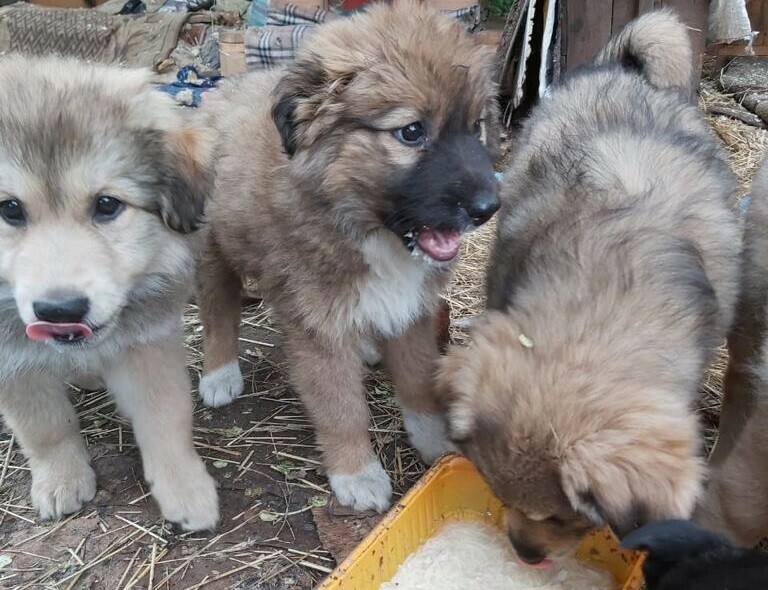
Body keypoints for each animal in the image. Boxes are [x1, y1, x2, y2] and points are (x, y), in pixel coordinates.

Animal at [195, 0, 500, 512]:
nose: (489, 207)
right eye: (411, 132)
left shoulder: (412, 309)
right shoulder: (318, 328)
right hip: (213, 251)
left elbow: (418, 383)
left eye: (476, 126)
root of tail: (220, 90)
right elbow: (341, 408)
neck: (365, 228)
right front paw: (357, 473)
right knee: (218, 312)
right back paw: (219, 374)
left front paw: (436, 445)